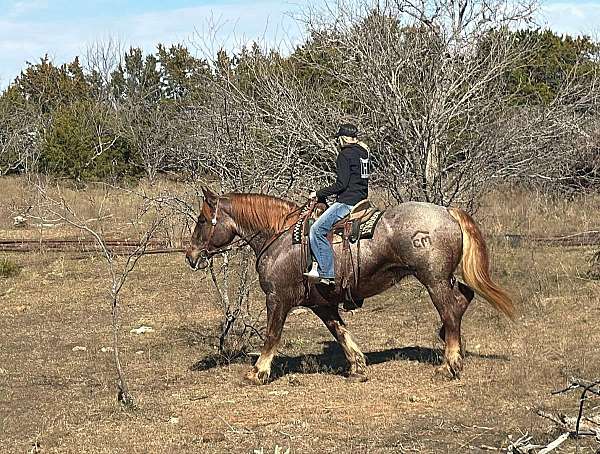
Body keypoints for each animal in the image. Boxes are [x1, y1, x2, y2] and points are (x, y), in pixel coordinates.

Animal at [185, 187, 512, 384]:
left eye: (201, 220)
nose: (191, 256)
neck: (280, 236)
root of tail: (446, 211)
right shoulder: (322, 304)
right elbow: (340, 332)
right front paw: (357, 365)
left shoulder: (277, 299)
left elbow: (272, 335)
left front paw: (259, 371)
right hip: (445, 279)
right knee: (464, 298)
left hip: (434, 281)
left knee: (451, 311)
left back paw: (450, 363)